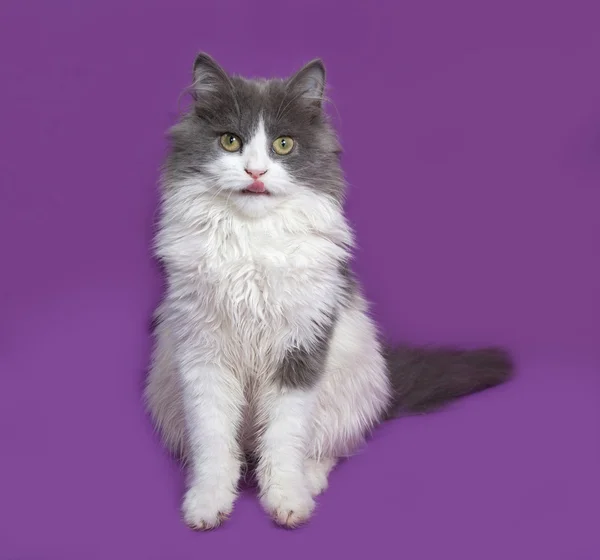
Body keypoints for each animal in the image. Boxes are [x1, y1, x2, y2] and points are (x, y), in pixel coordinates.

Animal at [144, 54, 510, 532]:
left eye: (283, 145)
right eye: (230, 141)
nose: (255, 171)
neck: (252, 242)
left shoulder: (302, 348)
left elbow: (284, 438)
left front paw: (287, 501)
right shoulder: (203, 353)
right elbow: (213, 441)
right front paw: (207, 503)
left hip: (349, 385)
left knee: (327, 447)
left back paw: (310, 478)